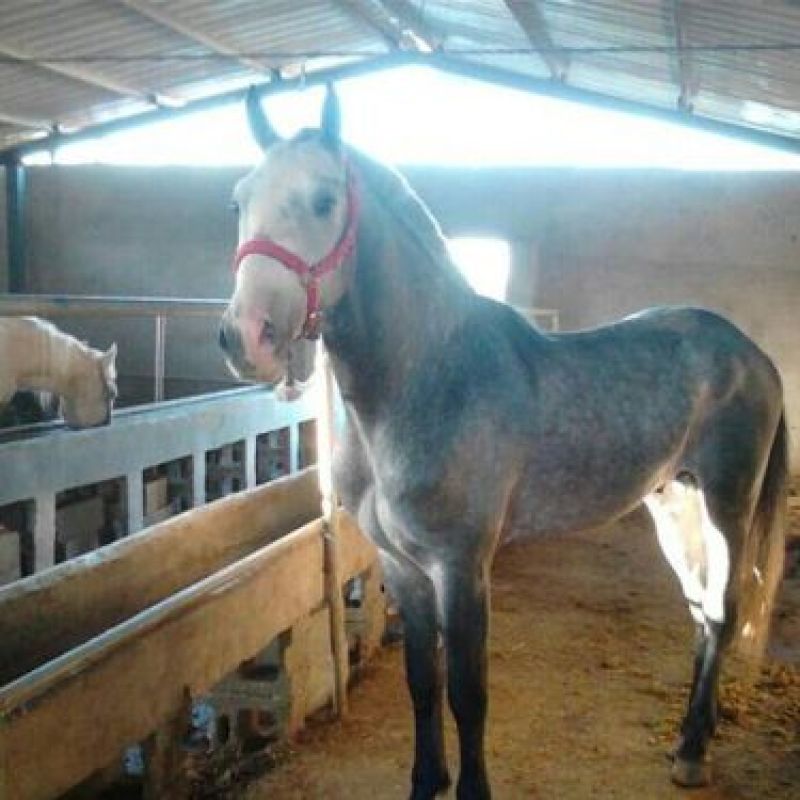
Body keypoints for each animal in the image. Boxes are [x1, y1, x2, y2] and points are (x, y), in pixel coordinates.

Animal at [218, 87, 787, 798]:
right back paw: (695, 734)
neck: (424, 380)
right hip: (673, 506)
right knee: (703, 610)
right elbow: (422, 682)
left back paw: (690, 752)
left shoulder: (461, 567)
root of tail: (753, 354)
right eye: (239, 201)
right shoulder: (402, 567)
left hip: (725, 507)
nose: (247, 337)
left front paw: (470, 788)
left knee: (724, 607)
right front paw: (425, 780)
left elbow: (468, 692)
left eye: (324, 200)